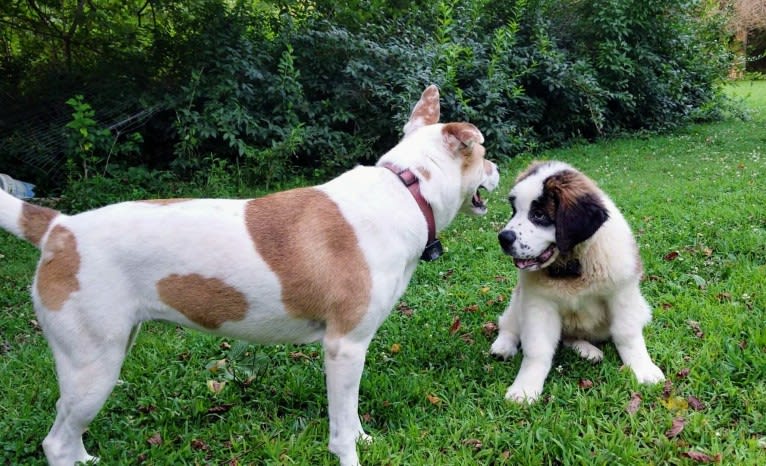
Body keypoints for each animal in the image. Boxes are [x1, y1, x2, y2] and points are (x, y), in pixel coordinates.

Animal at [0, 84, 500, 466]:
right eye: (483, 152)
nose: (497, 169)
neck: (405, 189)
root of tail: (60, 228)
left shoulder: (352, 350)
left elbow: (353, 416)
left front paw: (363, 438)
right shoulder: (344, 346)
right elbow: (341, 425)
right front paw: (349, 454)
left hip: (104, 355)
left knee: (67, 434)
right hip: (93, 369)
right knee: (55, 441)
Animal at [492, 162, 664, 402]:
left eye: (539, 215)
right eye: (514, 210)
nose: (503, 238)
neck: (571, 265)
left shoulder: (622, 294)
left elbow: (627, 334)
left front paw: (643, 369)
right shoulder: (537, 304)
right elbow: (536, 349)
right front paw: (525, 388)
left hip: (642, 308)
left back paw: (587, 350)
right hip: (519, 301)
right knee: (509, 323)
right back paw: (503, 346)